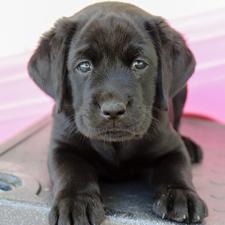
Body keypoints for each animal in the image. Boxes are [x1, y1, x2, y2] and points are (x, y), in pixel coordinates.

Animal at [27, 1, 207, 223]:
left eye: (139, 64)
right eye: (84, 66)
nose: (113, 110)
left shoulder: (171, 147)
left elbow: (176, 168)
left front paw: (181, 194)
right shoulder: (62, 146)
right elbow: (72, 172)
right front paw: (76, 202)